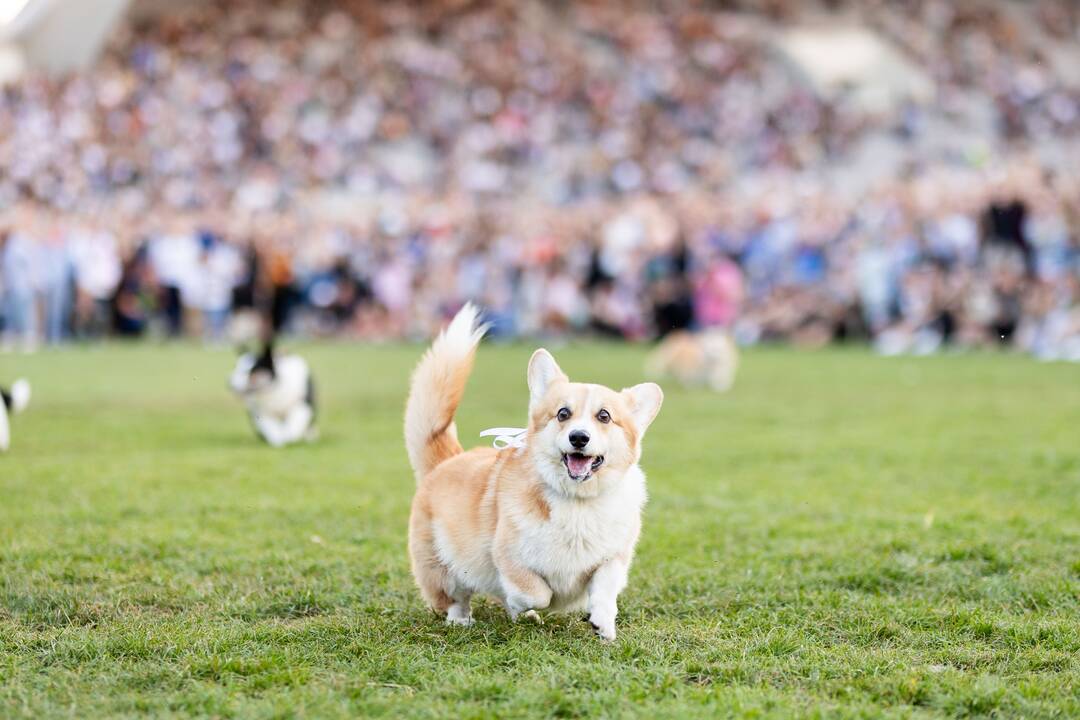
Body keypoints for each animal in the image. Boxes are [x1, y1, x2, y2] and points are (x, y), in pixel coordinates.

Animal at [403, 304, 660, 643]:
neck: (577, 502)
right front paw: (523, 605)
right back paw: (463, 620)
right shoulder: (510, 558)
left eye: (604, 416)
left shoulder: (612, 558)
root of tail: (448, 459)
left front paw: (602, 624)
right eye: (563, 413)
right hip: (441, 564)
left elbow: (604, 590)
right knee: (455, 597)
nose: (579, 437)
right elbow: (537, 593)